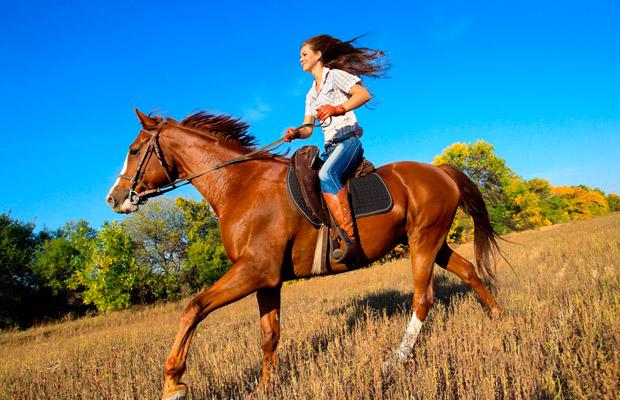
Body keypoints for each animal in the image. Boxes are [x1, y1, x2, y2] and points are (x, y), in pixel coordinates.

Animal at [106, 109, 504, 400]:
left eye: (135, 150)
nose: (114, 198)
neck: (240, 186)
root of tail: (439, 170)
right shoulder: (267, 280)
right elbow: (269, 335)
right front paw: (266, 388)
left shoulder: (253, 271)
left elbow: (193, 308)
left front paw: (173, 383)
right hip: (432, 241)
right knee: (469, 271)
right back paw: (499, 319)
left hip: (423, 242)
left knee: (424, 297)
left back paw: (395, 361)